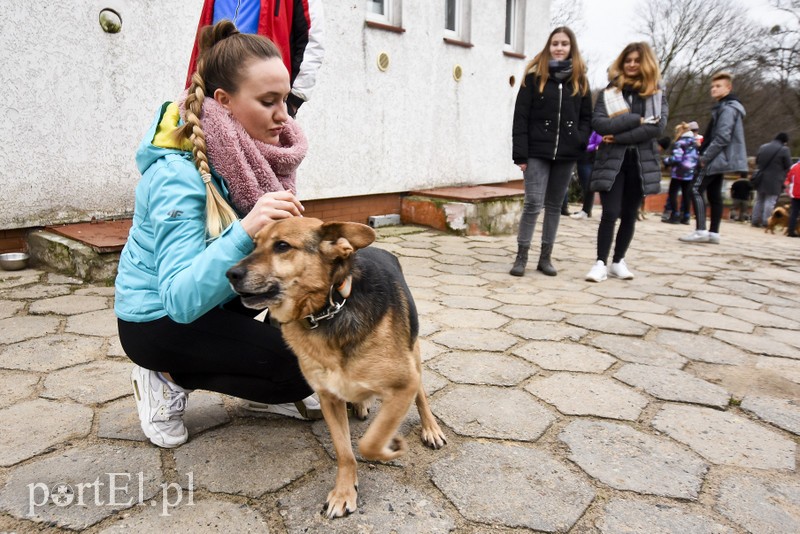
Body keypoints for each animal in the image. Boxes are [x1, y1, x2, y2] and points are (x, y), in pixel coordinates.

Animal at [228, 217, 446, 520]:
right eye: (253, 243)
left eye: (282, 246)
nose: (230, 274)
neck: (327, 310)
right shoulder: (329, 397)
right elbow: (345, 452)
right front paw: (344, 491)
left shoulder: (404, 384)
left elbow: (370, 443)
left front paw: (390, 448)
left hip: (413, 356)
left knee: (422, 396)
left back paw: (430, 429)